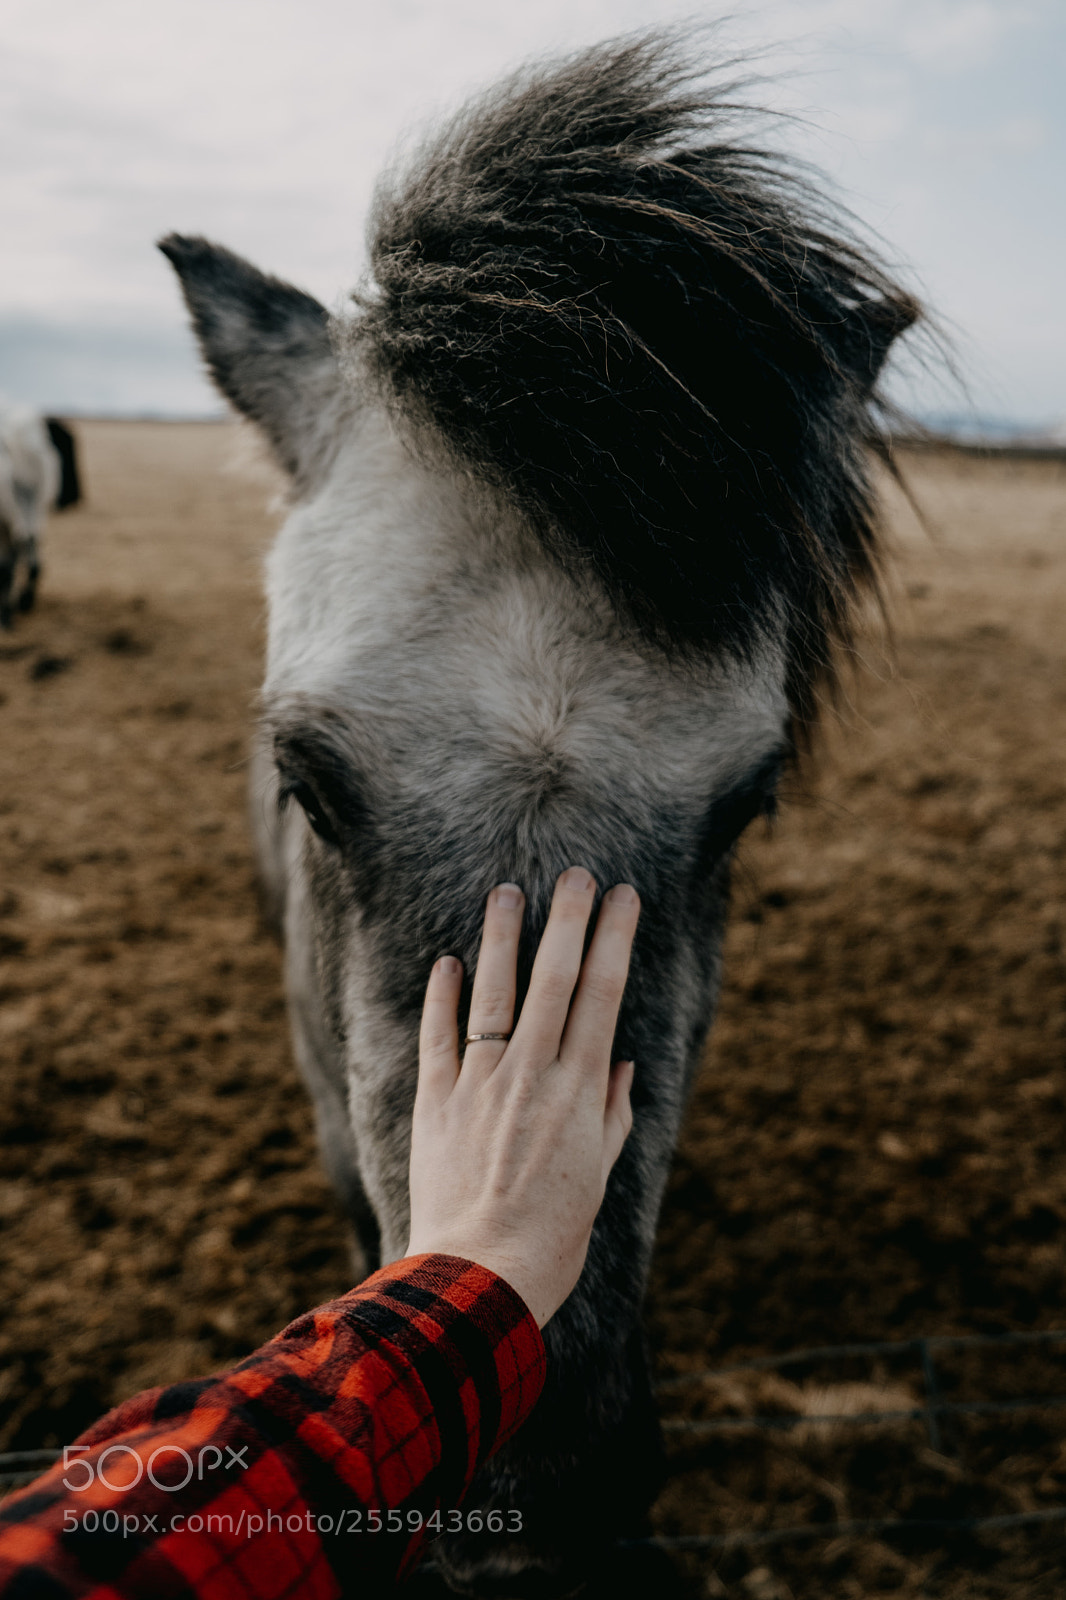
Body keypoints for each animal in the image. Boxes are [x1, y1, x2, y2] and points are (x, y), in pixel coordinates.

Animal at [0, 405, 80, 628]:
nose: (75, 497)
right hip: (30, 504)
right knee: (30, 543)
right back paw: (25, 599)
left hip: (21, 507)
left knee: (20, 548)